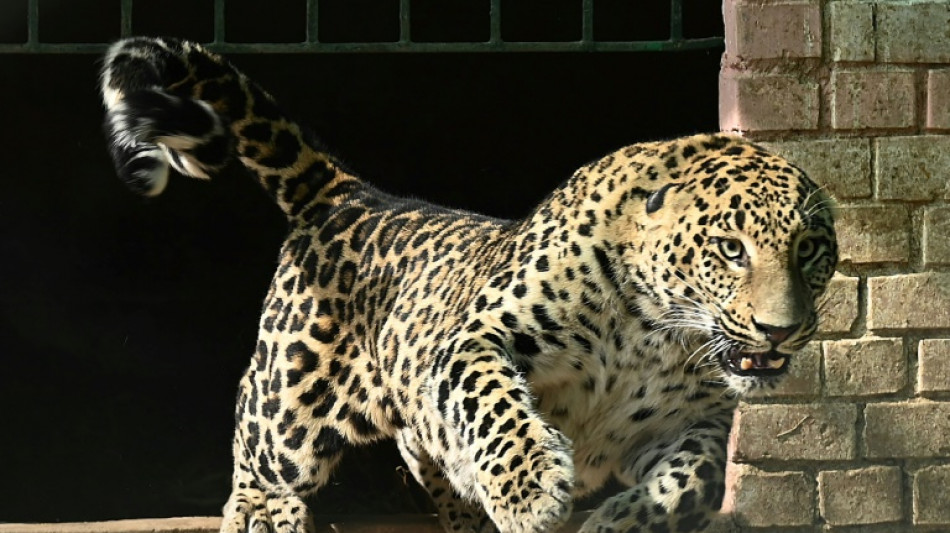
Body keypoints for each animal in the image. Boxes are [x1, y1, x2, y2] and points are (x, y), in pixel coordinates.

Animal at [100, 37, 836, 532]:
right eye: (731, 250)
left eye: (810, 250)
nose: (780, 330)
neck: (655, 333)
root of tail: (349, 193)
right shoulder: (477, 338)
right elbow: (495, 405)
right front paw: (532, 490)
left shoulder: (696, 418)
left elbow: (696, 480)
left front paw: (622, 519)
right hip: (291, 395)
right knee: (258, 433)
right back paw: (261, 507)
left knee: (421, 448)